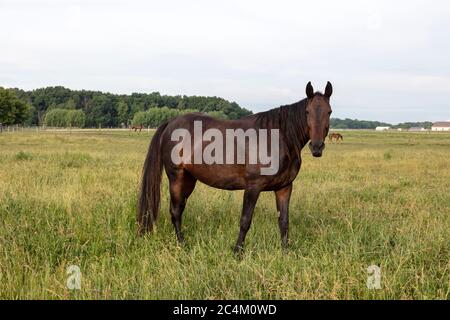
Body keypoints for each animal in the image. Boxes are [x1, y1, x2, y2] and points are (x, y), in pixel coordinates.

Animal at [137, 82, 334, 252]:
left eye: (329, 112)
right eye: (307, 111)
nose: (317, 147)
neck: (277, 138)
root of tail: (170, 123)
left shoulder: (284, 187)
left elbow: (284, 221)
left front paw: (286, 252)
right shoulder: (253, 187)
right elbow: (245, 220)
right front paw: (237, 252)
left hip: (189, 179)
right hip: (177, 177)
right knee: (176, 212)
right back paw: (182, 244)